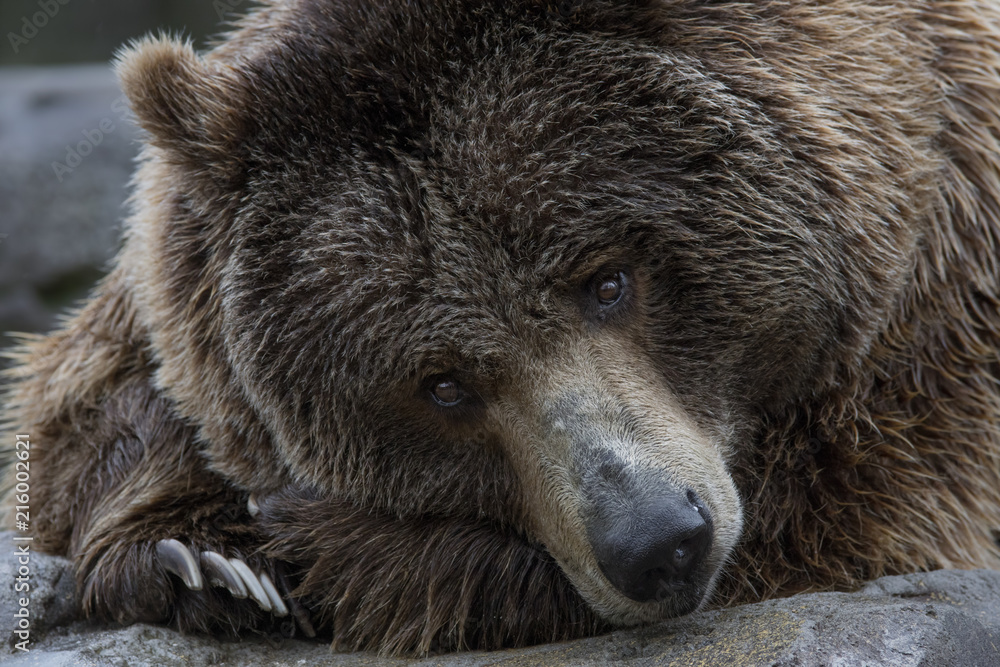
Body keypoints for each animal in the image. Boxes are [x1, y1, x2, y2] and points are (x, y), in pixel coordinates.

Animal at [4, 0, 1000, 656]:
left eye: (609, 278)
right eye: (440, 382)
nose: (659, 542)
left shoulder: (938, 313)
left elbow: (856, 517)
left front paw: (313, 548)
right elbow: (78, 411)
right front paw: (204, 553)